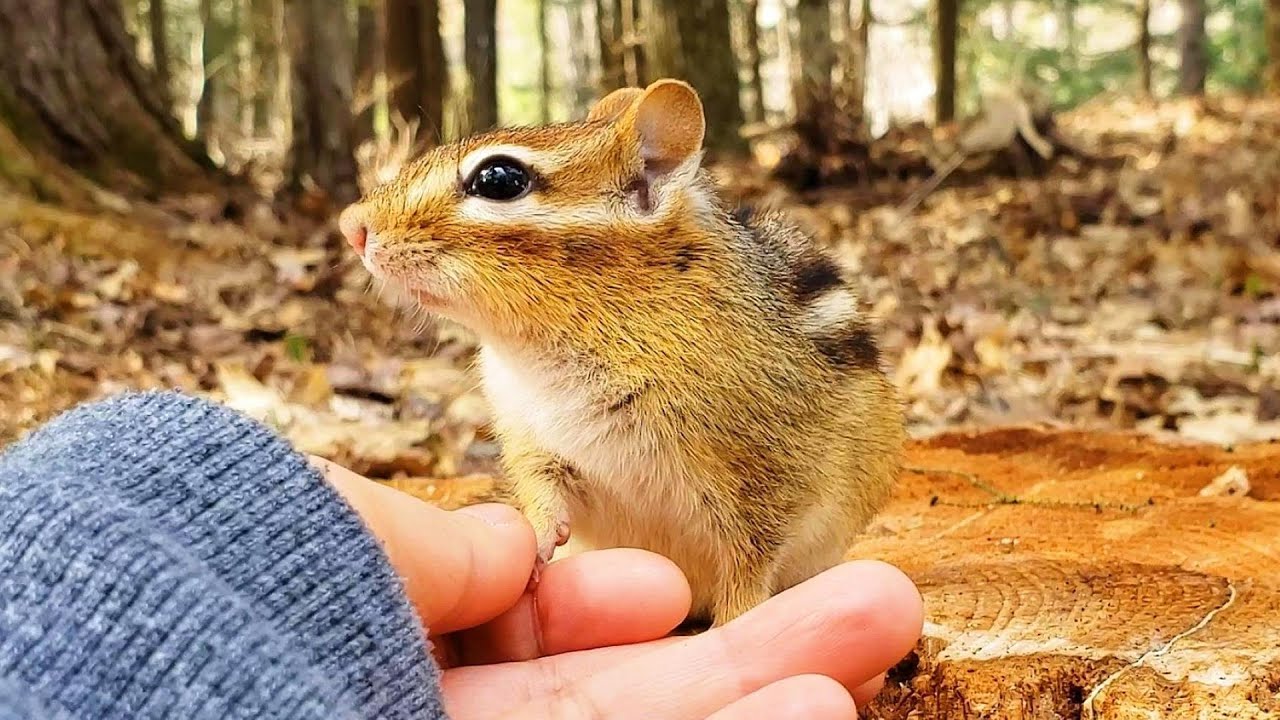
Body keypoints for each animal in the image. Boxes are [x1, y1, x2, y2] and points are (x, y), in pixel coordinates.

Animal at [338, 79, 905, 627]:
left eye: (499, 180)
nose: (351, 225)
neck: (549, 353)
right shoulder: (532, 438)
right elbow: (541, 491)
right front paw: (535, 544)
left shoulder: (767, 479)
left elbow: (751, 564)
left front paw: (736, 623)